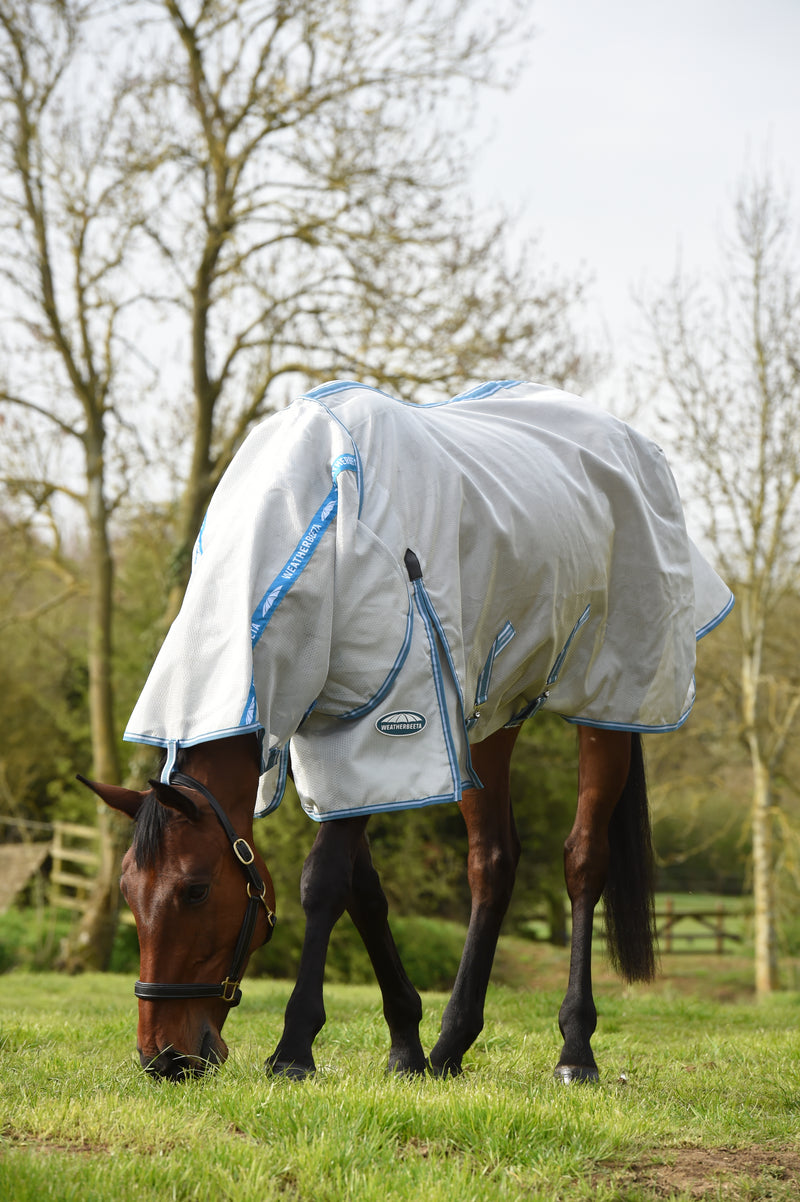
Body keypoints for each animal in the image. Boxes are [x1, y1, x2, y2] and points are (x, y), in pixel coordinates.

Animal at [80, 380, 733, 1081]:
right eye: (128, 892)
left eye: (195, 890)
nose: (164, 1056)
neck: (315, 527)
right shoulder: (336, 746)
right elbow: (363, 889)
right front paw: (405, 1043)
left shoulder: (381, 726)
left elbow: (324, 881)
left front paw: (294, 1048)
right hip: (484, 715)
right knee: (492, 863)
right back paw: (451, 1044)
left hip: (609, 703)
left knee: (584, 859)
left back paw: (575, 1049)